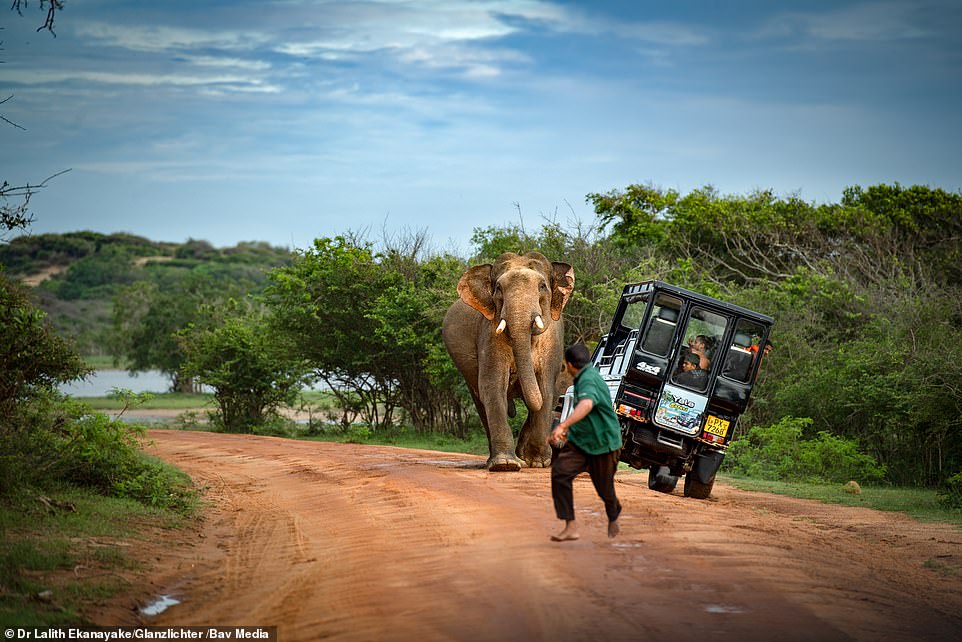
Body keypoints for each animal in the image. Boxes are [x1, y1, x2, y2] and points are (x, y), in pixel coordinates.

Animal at [442, 251, 575, 471]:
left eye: (542, 286)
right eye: (498, 288)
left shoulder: (552, 340)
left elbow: (545, 388)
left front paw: (538, 462)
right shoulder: (489, 332)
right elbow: (493, 385)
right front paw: (506, 465)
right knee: (480, 400)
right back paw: (497, 460)